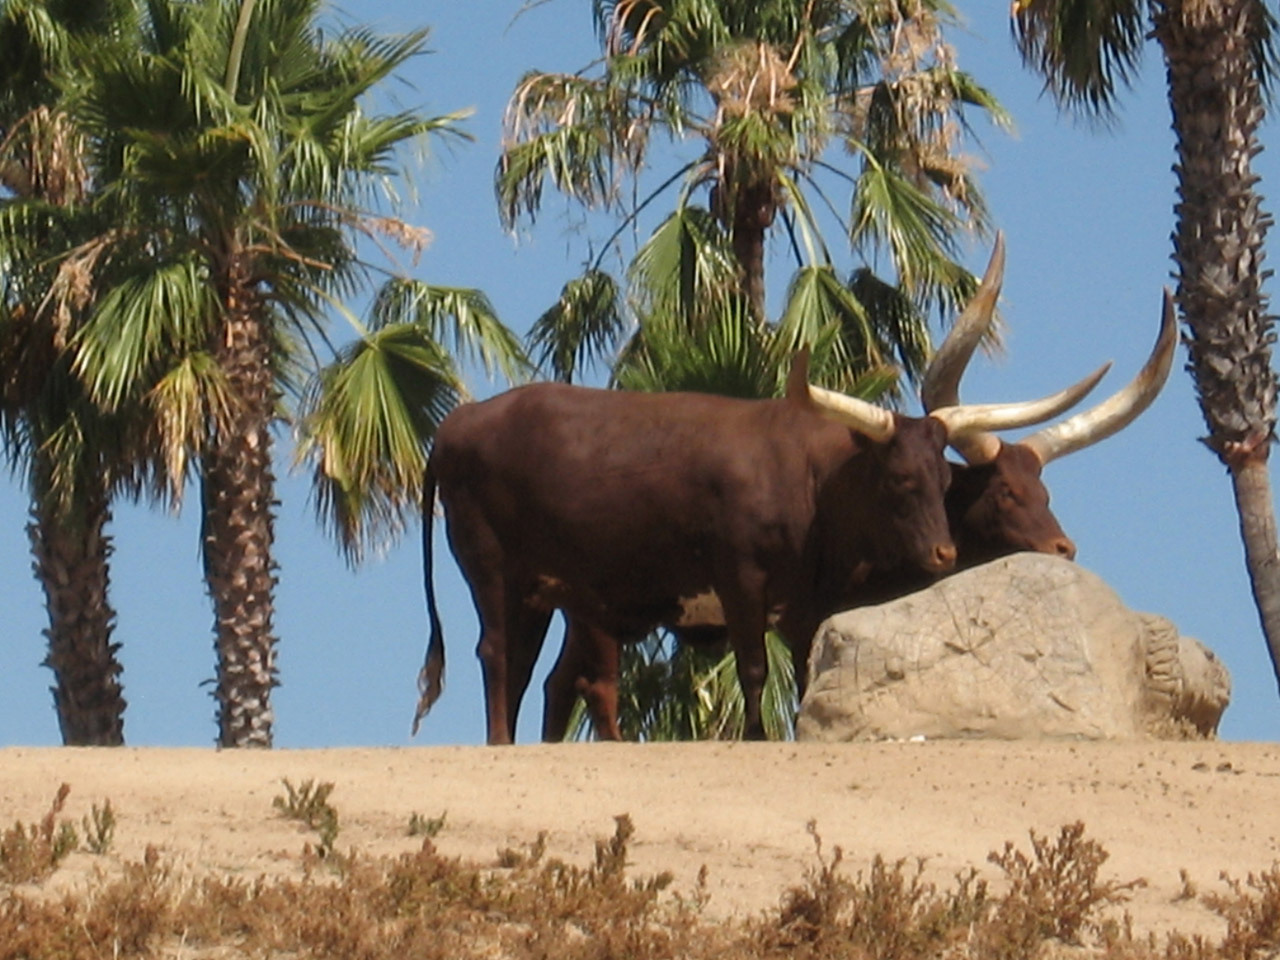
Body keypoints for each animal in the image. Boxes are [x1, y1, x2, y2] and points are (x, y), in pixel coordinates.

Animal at [413, 245, 1107, 745]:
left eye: (942, 481)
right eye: (899, 481)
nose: (1063, 548)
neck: (816, 482)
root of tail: (459, 424)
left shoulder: (806, 609)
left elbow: (803, 677)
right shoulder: (740, 581)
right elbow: (752, 668)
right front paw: (755, 737)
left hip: (557, 594)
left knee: (547, 673)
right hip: (495, 571)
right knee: (503, 655)